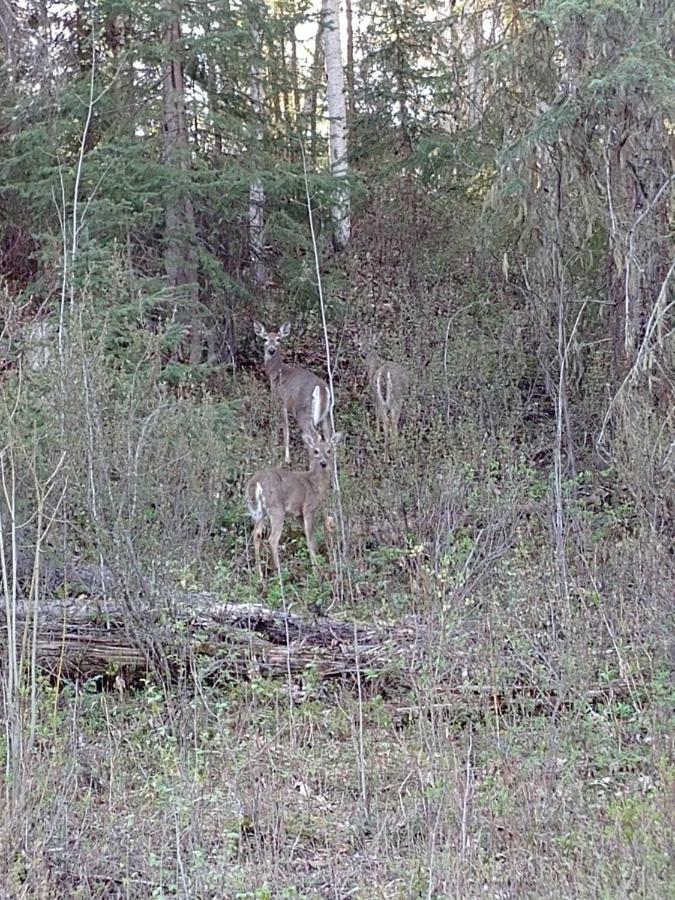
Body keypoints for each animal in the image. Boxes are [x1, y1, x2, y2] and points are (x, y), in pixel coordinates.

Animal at [246, 432, 344, 580]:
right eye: (315, 451)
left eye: (329, 450)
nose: (323, 463)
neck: (316, 485)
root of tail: (256, 483)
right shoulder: (308, 508)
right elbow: (310, 537)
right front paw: (316, 571)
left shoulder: (298, 514)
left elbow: (311, 539)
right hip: (276, 509)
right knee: (272, 539)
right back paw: (280, 574)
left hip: (257, 511)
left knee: (256, 533)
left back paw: (260, 575)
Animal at [254, 322, 332, 464]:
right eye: (265, 339)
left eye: (279, 339)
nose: (271, 350)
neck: (276, 372)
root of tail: (322, 388)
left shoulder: (281, 401)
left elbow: (285, 429)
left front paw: (286, 457)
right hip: (326, 414)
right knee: (329, 438)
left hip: (303, 410)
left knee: (316, 436)